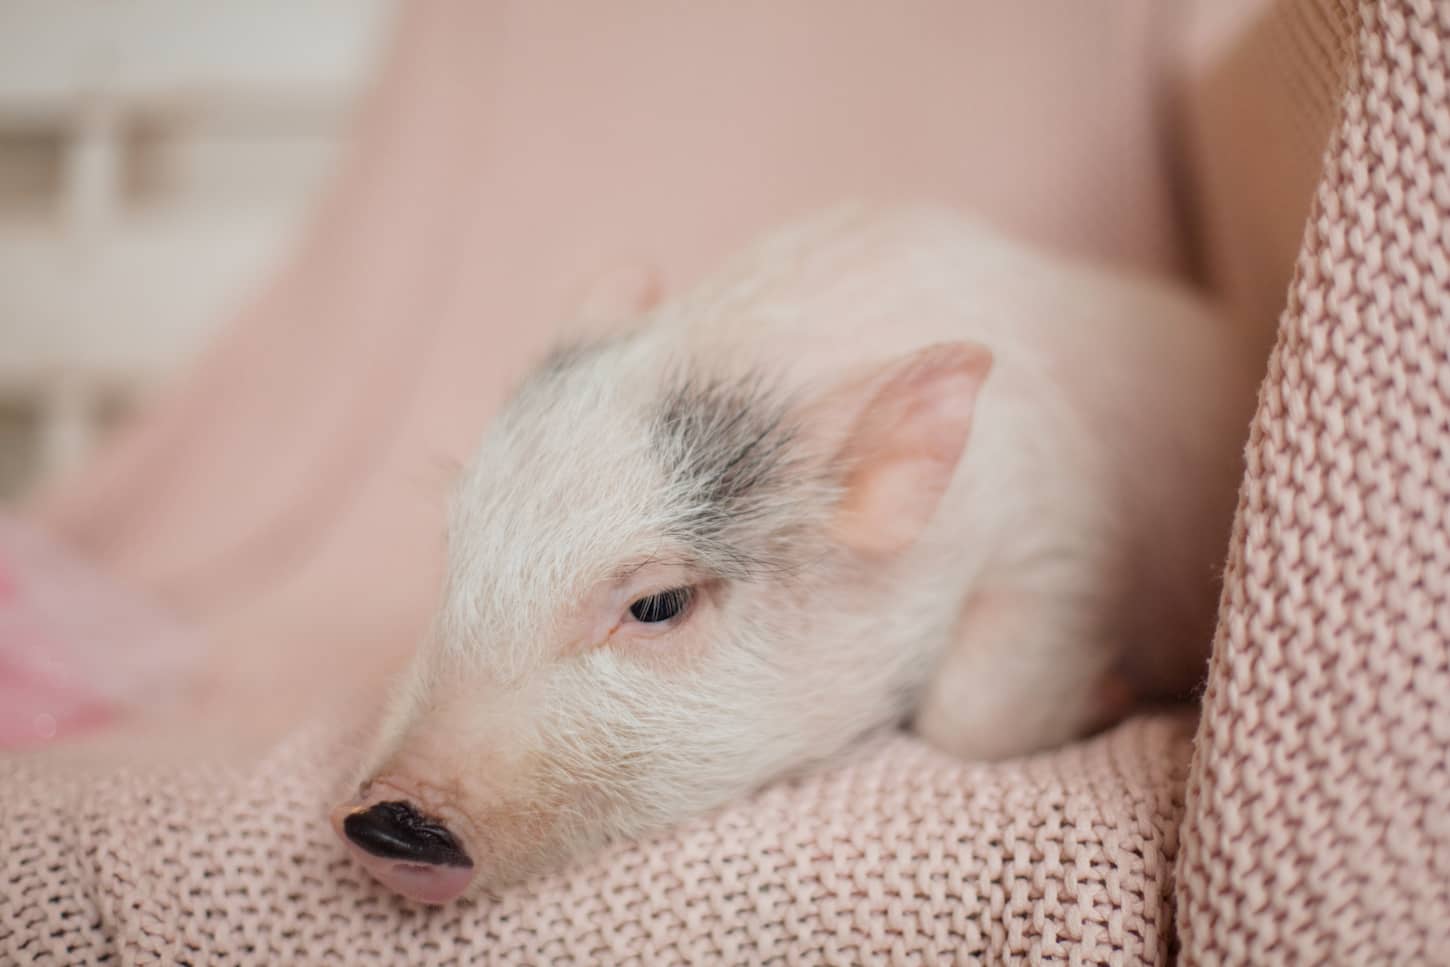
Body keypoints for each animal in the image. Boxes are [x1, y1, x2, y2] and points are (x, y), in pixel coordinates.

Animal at [330, 204, 1259, 904]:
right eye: (455, 546)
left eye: (659, 604)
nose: (381, 822)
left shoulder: (1060, 545)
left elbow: (965, 715)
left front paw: (1117, 696)